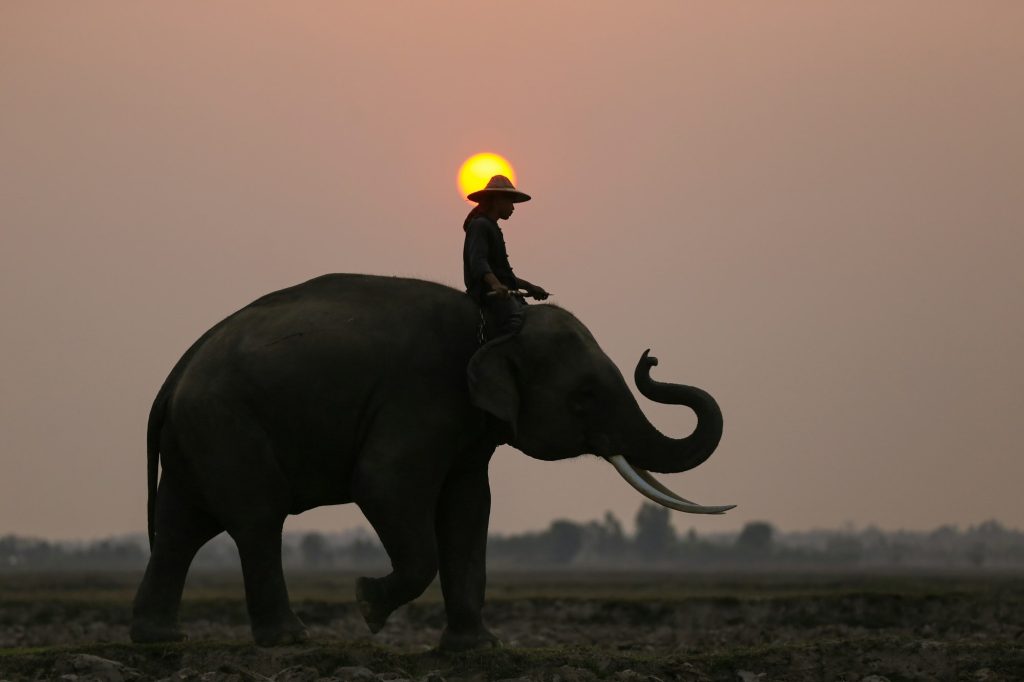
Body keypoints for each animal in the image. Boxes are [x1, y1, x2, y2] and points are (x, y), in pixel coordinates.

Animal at [130, 270, 737, 647]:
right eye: (584, 396)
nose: (650, 358)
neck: (494, 324)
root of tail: (172, 378)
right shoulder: (418, 399)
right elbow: (383, 486)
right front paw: (367, 606)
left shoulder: (468, 429)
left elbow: (468, 508)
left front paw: (480, 648)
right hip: (226, 427)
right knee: (257, 519)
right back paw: (290, 639)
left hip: (199, 438)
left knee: (182, 528)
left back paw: (159, 638)